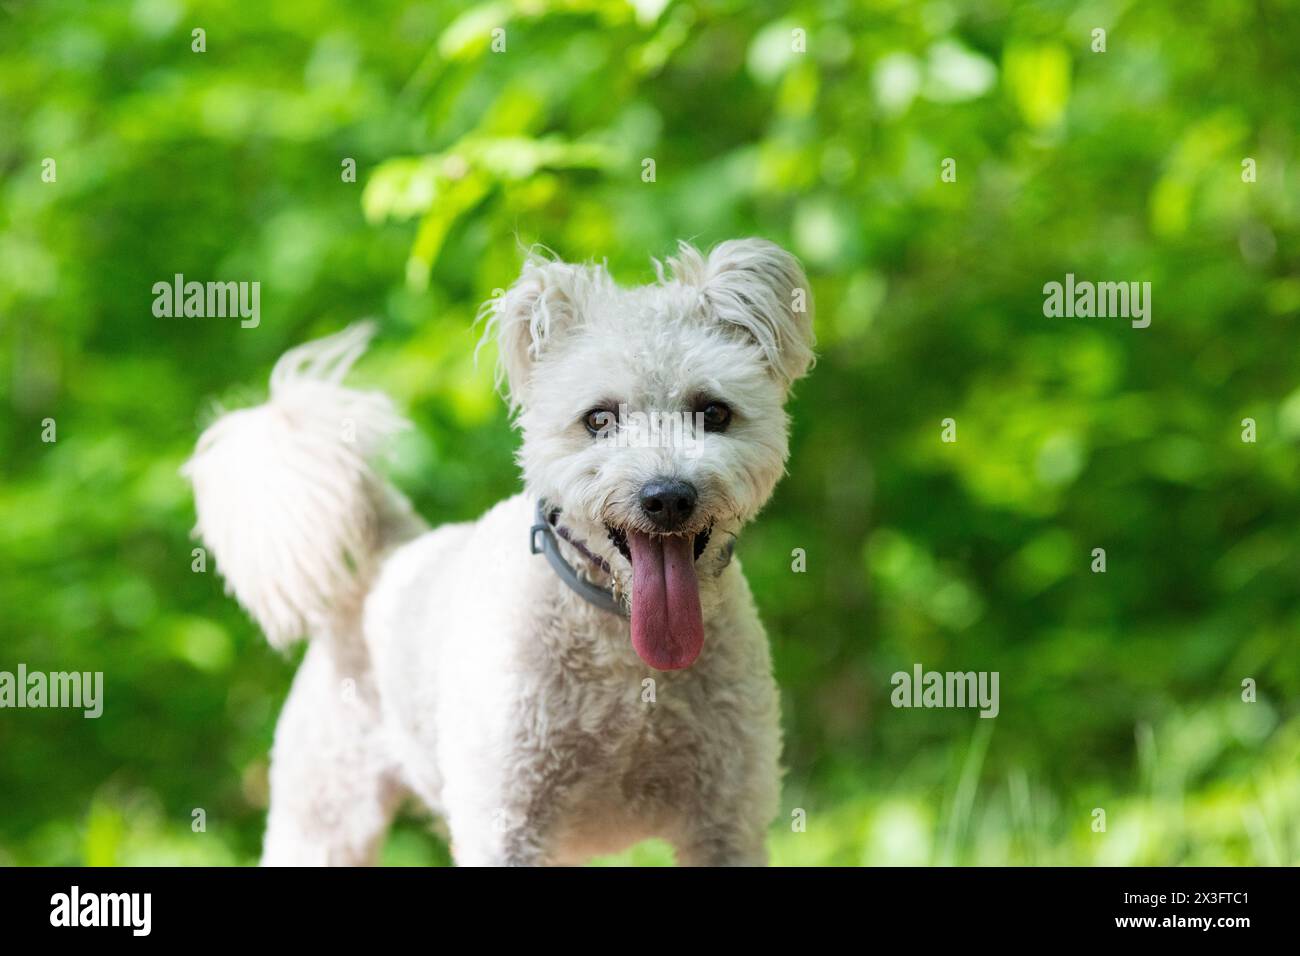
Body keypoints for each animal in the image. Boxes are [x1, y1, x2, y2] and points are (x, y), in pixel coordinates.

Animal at [185, 239, 811, 868]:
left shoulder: (726, 825)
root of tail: (390, 556)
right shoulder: (504, 824)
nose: (667, 497)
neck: (625, 652)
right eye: (599, 418)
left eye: (714, 412)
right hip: (322, 818)